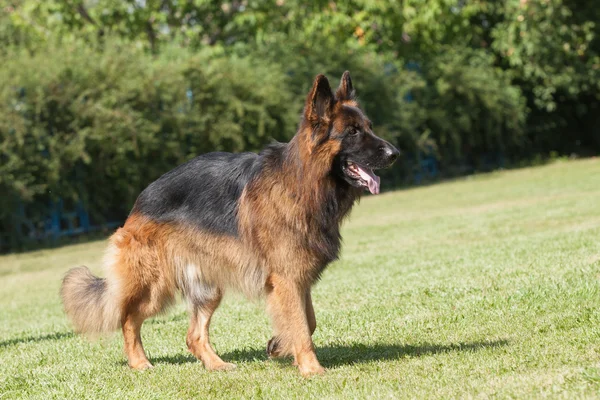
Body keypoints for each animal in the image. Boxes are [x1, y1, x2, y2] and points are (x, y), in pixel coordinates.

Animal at [61, 71, 398, 376]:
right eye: (352, 132)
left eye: (368, 127)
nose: (395, 153)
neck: (301, 182)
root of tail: (139, 202)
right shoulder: (287, 278)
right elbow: (302, 326)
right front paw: (311, 369)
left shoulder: (296, 277)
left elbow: (308, 321)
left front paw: (279, 345)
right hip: (155, 286)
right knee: (128, 318)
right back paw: (140, 363)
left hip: (207, 289)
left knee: (193, 336)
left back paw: (216, 365)